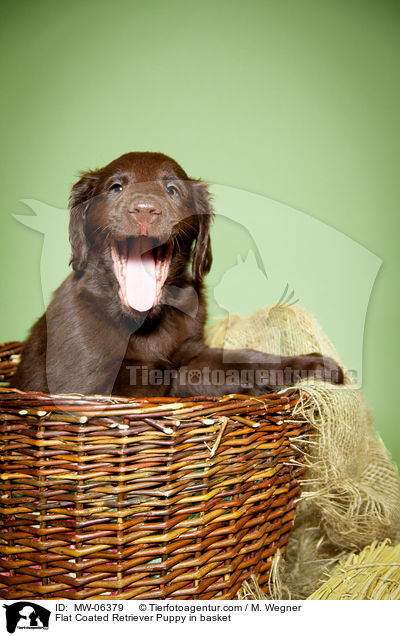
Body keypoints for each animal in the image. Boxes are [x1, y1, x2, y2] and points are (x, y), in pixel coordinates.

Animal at [14, 151, 342, 396]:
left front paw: (312, 366)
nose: (144, 209)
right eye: (116, 188)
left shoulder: (192, 349)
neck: (146, 321)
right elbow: (167, 376)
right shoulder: (83, 386)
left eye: (172, 190)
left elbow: (240, 358)